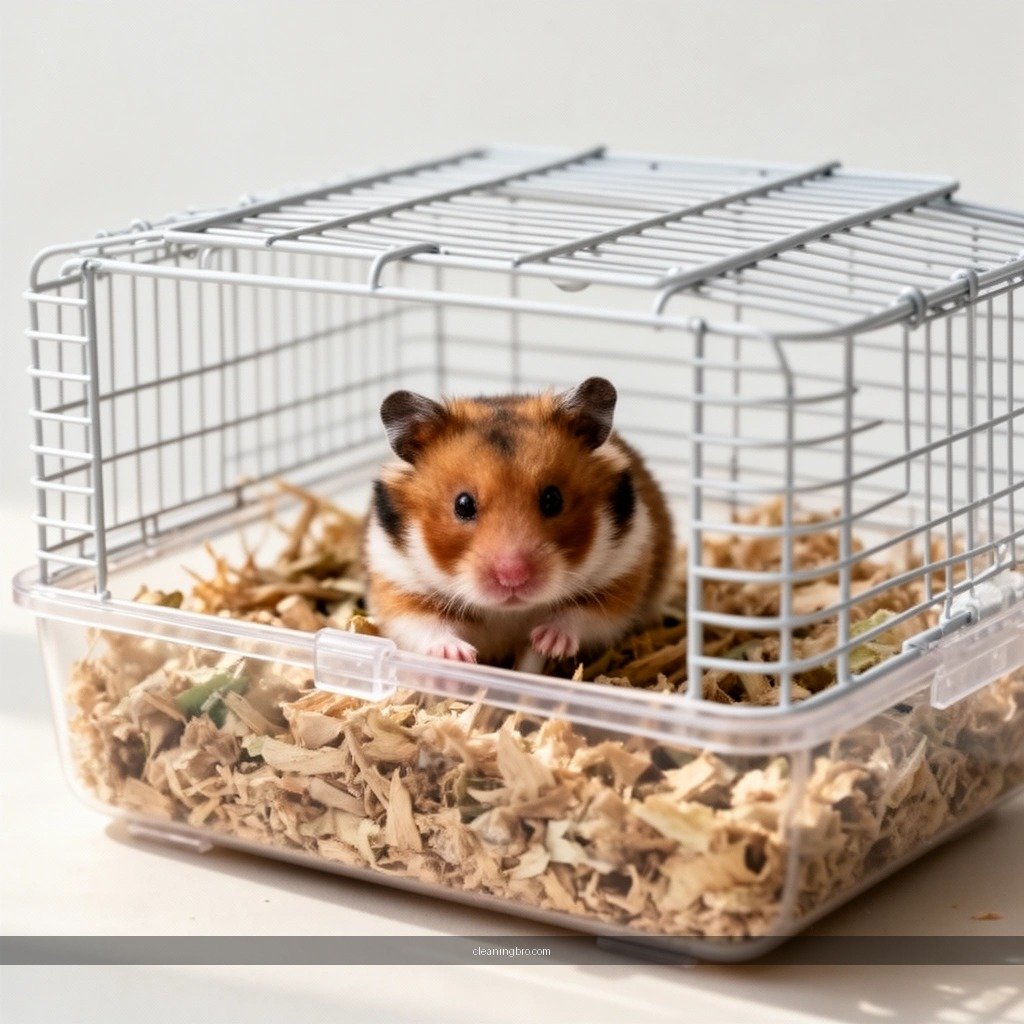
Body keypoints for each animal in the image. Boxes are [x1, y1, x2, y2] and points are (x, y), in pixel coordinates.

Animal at [363, 377, 674, 666]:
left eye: (552, 499)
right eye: (463, 504)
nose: (513, 577)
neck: (509, 612)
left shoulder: (621, 574)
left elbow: (582, 616)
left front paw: (548, 642)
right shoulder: (398, 584)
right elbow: (426, 626)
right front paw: (459, 656)